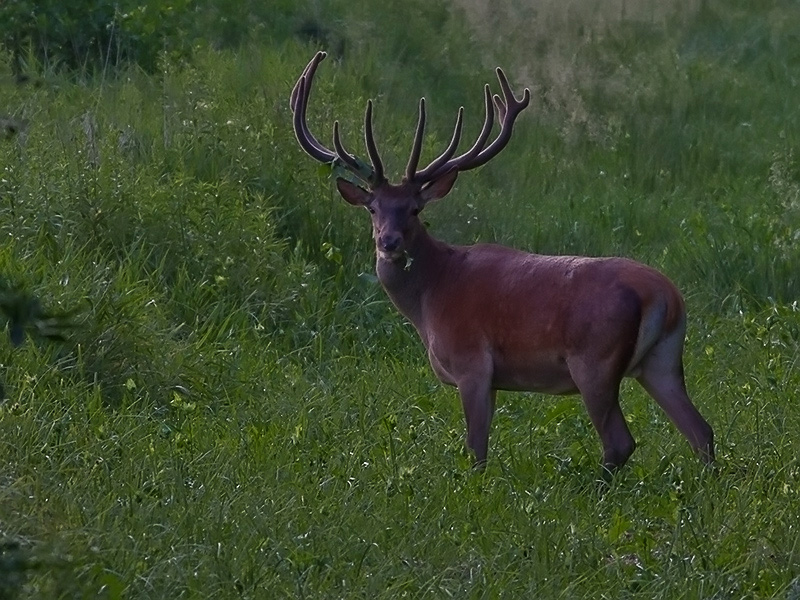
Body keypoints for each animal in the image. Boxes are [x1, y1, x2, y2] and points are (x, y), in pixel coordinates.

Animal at [290, 51, 716, 472]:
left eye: (414, 209)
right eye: (373, 208)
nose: (388, 241)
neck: (430, 299)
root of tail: (666, 296)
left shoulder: (472, 364)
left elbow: (476, 450)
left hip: (595, 360)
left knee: (620, 442)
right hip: (662, 360)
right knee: (701, 431)